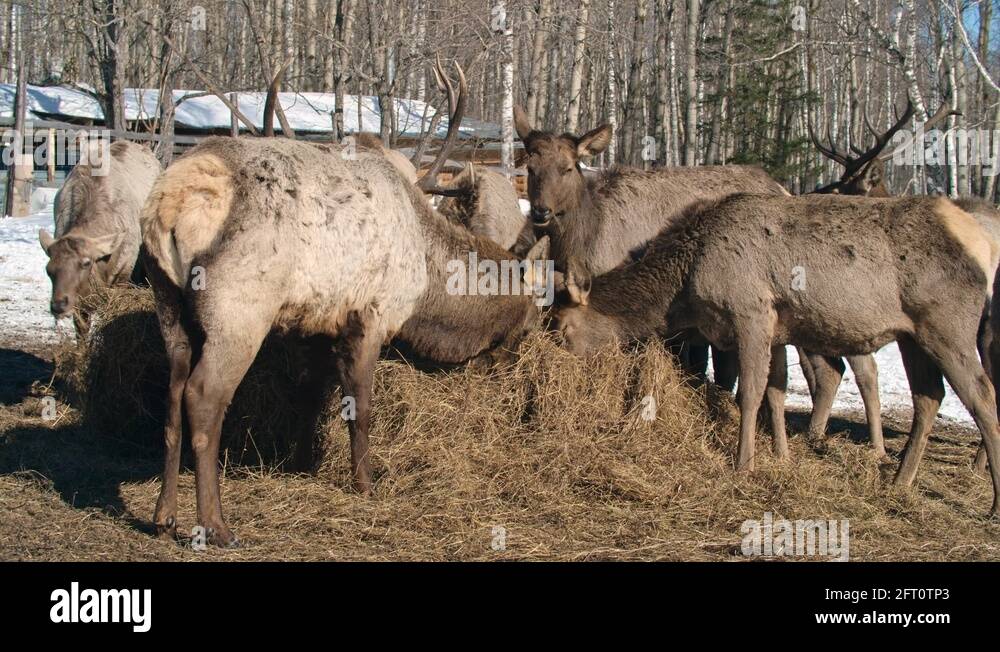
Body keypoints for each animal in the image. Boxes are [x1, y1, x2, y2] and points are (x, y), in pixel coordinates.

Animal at [141, 62, 551, 547]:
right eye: (530, 317)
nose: (513, 363)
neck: (426, 270)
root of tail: (174, 199)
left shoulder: (313, 323)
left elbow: (307, 397)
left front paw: (302, 463)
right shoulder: (371, 314)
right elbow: (361, 407)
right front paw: (366, 483)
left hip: (168, 303)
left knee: (171, 397)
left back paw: (164, 516)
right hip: (238, 311)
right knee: (203, 397)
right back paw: (217, 526)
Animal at [550, 192, 1000, 515]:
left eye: (564, 328)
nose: (555, 360)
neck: (685, 286)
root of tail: (981, 242)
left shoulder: (751, 313)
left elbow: (749, 394)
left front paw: (743, 463)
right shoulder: (779, 328)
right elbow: (777, 392)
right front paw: (782, 457)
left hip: (948, 326)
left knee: (983, 395)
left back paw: (990, 503)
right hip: (912, 336)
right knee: (929, 397)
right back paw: (899, 481)